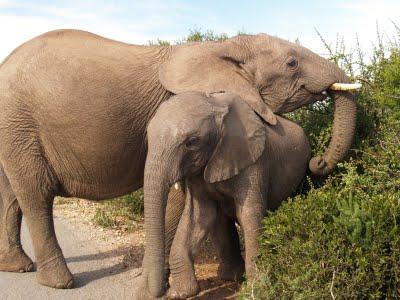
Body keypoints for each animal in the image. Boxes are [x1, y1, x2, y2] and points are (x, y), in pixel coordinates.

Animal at [142, 91, 310, 298]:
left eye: (192, 142)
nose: (161, 292)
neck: (215, 105)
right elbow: (199, 216)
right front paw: (181, 293)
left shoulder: (254, 161)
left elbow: (249, 215)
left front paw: (257, 289)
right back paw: (231, 276)